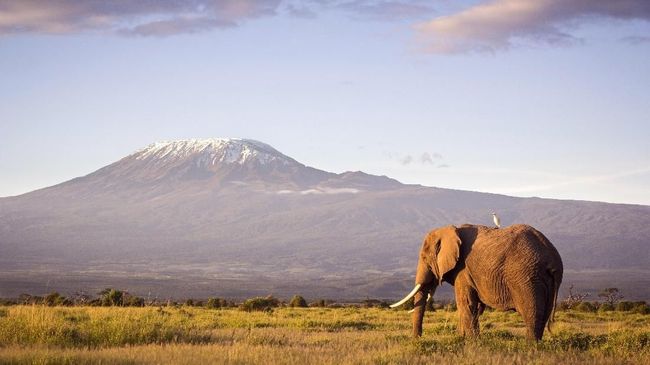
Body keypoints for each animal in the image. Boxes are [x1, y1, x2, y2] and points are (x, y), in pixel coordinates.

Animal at [390, 223, 560, 340]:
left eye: (424, 258)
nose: (417, 339)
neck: (451, 229)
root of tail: (552, 258)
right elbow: (473, 307)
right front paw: (462, 338)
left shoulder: (463, 270)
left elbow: (466, 303)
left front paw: (472, 343)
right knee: (543, 315)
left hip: (526, 278)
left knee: (532, 313)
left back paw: (529, 347)